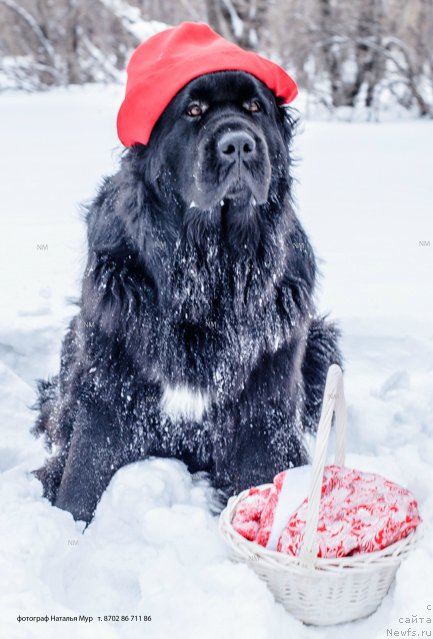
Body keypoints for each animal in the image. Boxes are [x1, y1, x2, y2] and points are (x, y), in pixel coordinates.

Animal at [33, 67, 340, 524]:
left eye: (255, 106)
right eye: (193, 110)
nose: (239, 144)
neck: (208, 268)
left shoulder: (264, 405)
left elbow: (267, 473)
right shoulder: (107, 389)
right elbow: (81, 479)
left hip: (322, 343)